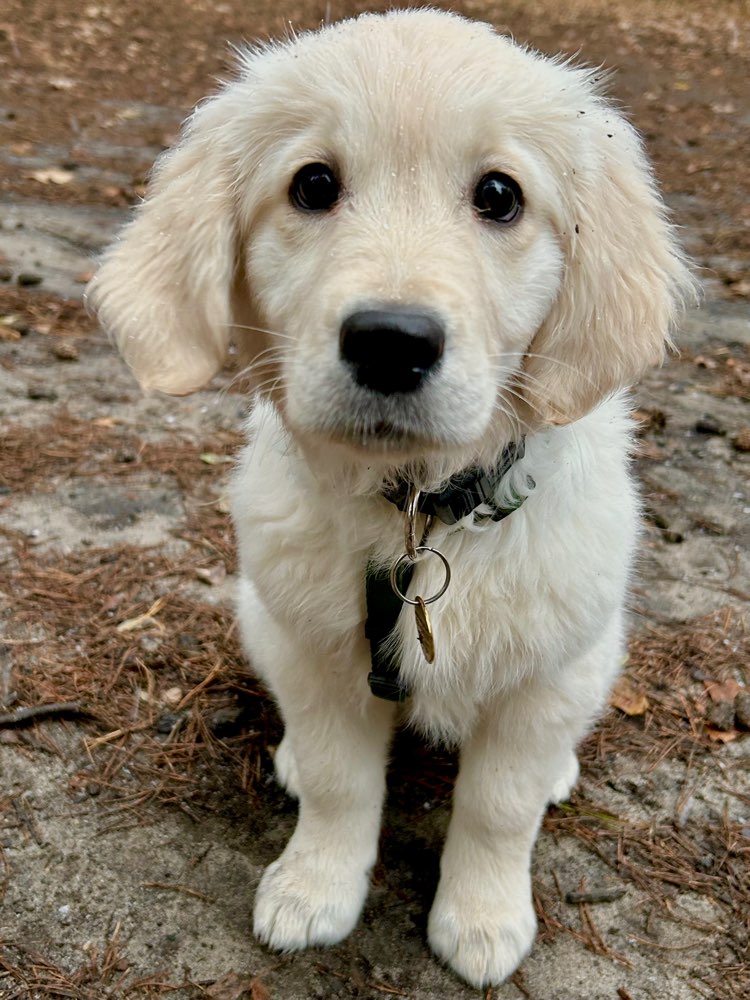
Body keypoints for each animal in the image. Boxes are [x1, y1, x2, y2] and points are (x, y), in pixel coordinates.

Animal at [89, 11, 700, 988]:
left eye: (499, 196)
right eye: (313, 185)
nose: (390, 341)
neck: (421, 510)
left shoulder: (547, 672)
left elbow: (499, 805)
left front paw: (482, 919)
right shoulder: (315, 651)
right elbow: (343, 784)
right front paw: (314, 888)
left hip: (598, 653)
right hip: (260, 614)